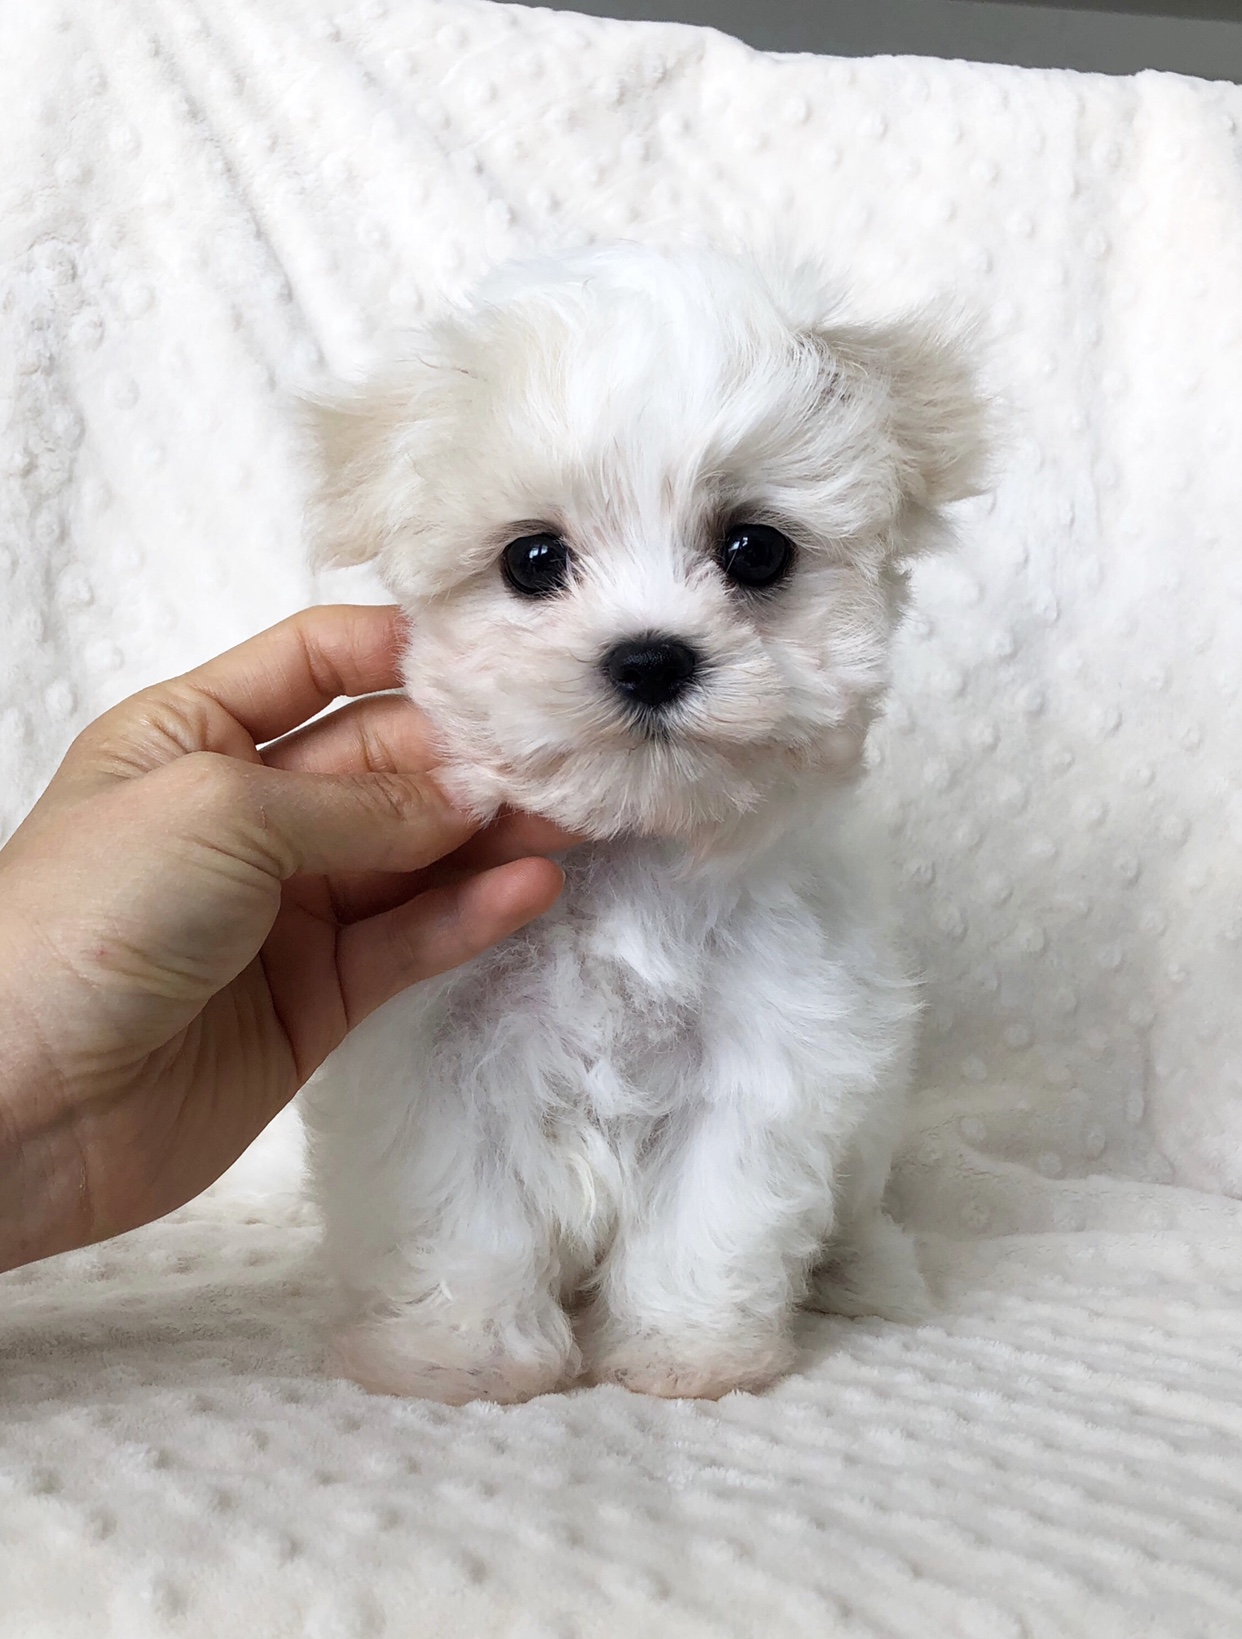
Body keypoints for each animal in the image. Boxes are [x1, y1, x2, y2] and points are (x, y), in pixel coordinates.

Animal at [301, 245, 983, 1409]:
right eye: (533, 560)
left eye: (755, 550)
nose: (652, 658)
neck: (627, 848)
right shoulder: (433, 1049)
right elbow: (463, 1211)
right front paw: (466, 1354)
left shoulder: (766, 1054)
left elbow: (709, 1217)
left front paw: (685, 1353)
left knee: (855, 1209)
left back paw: (869, 1271)